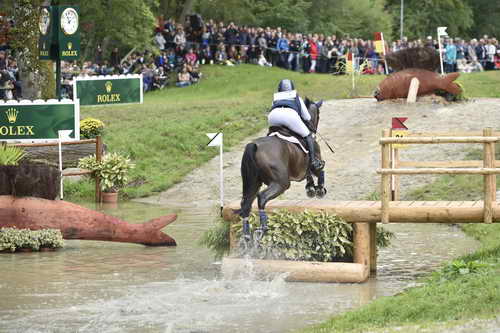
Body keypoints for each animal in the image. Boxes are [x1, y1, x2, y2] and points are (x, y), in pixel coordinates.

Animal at [239, 97, 326, 240]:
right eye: (318, 115)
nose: (313, 129)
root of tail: (254, 146)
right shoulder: (316, 161)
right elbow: (320, 171)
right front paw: (319, 190)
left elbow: (309, 174)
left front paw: (311, 188)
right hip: (281, 183)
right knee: (262, 197)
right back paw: (263, 228)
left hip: (253, 182)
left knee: (246, 204)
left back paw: (246, 236)